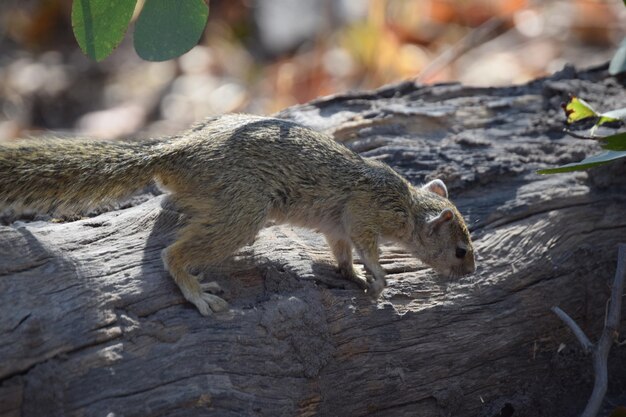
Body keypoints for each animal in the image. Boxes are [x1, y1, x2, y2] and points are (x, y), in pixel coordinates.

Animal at [0, 114, 472, 316]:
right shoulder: (365, 214)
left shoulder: (337, 227)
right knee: (171, 256)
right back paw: (197, 293)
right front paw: (377, 279)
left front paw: (351, 275)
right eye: (461, 251)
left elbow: (341, 251)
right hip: (244, 213)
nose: (470, 274)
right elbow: (368, 250)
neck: (408, 205)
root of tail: (175, 153)